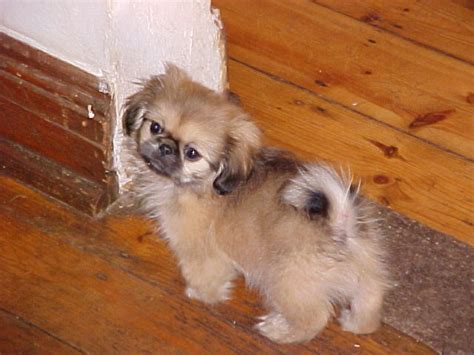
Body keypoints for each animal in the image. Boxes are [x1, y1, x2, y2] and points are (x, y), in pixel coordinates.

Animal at [124, 64, 390, 344]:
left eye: (192, 153)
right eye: (155, 127)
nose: (164, 147)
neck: (206, 183)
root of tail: (338, 224)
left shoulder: (199, 249)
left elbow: (203, 274)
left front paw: (201, 294)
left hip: (287, 280)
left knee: (314, 318)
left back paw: (278, 331)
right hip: (363, 269)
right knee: (371, 294)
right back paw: (356, 323)